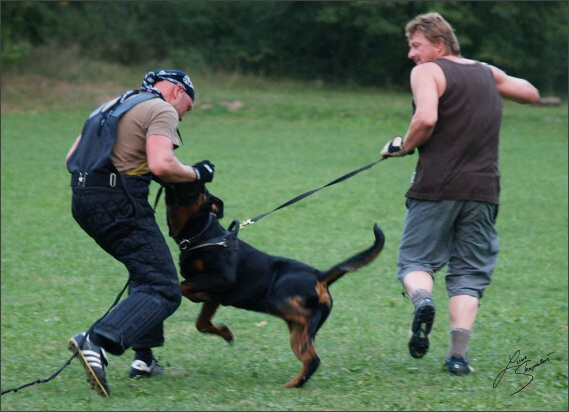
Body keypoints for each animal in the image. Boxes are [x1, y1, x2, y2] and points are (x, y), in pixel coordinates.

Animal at [164, 182, 386, 388]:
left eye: (194, 186)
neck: (203, 235)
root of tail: (318, 275)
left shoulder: (222, 277)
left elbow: (182, 286)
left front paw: (197, 296)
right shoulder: (215, 296)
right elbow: (201, 322)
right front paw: (225, 332)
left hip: (276, 302)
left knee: (309, 320)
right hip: (295, 330)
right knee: (312, 358)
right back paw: (294, 384)